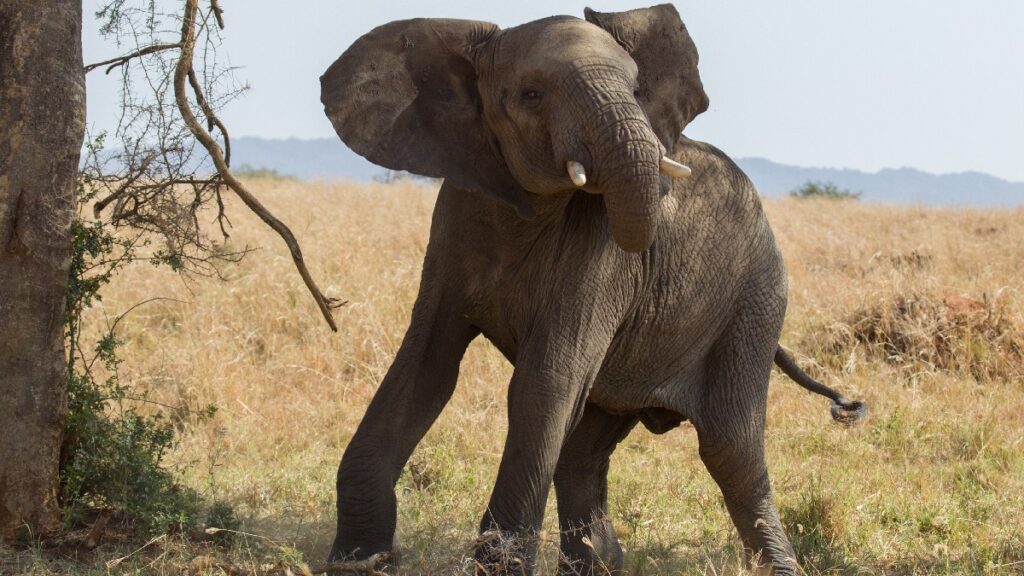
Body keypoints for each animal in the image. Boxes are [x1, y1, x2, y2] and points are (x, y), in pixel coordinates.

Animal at [319, 4, 865, 575]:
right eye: (531, 94)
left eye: (636, 88)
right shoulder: (455, 222)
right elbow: (426, 366)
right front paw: (359, 560)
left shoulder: (602, 257)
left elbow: (544, 380)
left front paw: (494, 564)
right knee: (585, 448)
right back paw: (597, 564)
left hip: (755, 302)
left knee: (730, 447)